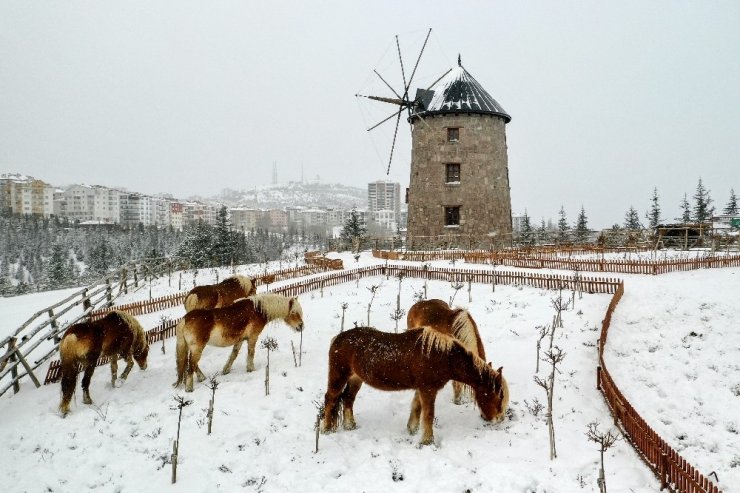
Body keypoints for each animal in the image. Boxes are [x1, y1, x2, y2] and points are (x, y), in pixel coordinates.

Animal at [173, 292, 304, 392]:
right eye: (293, 312)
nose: (301, 326)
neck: (258, 310)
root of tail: (185, 319)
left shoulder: (240, 340)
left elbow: (234, 354)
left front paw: (226, 370)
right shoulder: (252, 338)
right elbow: (251, 353)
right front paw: (251, 369)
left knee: (191, 364)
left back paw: (202, 378)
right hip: (197, 348)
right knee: (191, 365)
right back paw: (189, 388)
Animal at [320, 326, 506, 446]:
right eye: (498, 397)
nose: (498, 420)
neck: (443, 356)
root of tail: (337, 339)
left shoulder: (421, 388)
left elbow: (416, 407)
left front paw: (412, 430)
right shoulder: (428, 389)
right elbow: (428, 415)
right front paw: (427, 441)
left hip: (355, 379)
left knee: (348, 399)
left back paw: (350, 426)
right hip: (338, 377)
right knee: (331, 399)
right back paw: (326, 429)